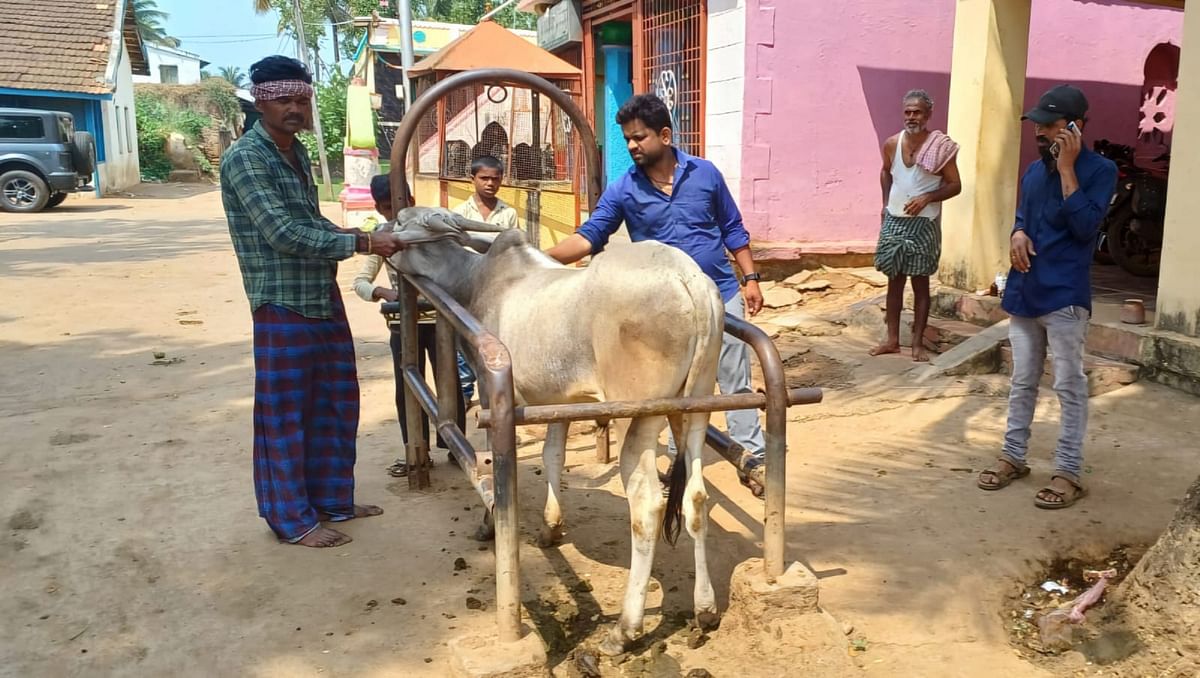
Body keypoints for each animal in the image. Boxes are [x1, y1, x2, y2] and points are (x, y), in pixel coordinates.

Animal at [386, 205, 720, 648]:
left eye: (404, 220)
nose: (382, 234)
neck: (475, 281)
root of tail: (689, 280)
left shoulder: (496, 399)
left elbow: (490, 467)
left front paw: (489, 525)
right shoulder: (560, 403)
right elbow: (552, 456)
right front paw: (550, 527)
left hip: (641, 415)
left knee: (647, 504)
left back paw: (625, 630)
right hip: (695, 408)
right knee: (695, 497)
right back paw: (705, 610)